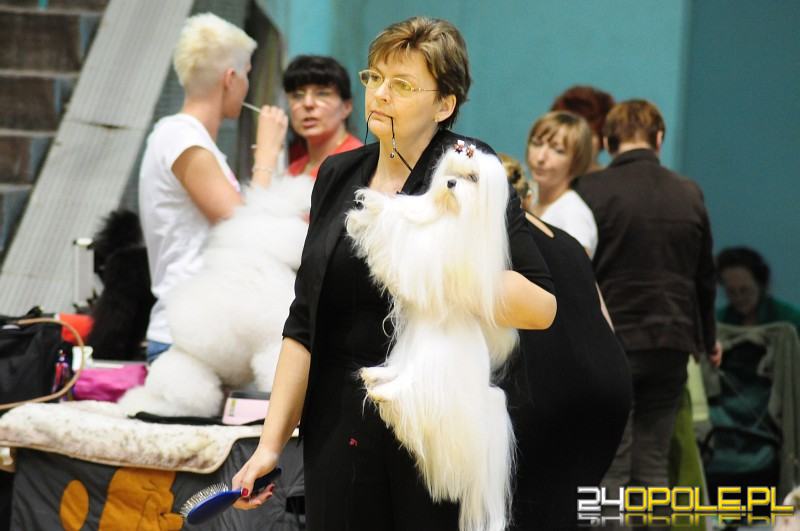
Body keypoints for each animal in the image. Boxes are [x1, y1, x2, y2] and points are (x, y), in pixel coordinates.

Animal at [345, 143, 517, 531]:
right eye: (449, 173)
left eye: (472, 178)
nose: (451, 183)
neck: (451, 217)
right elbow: (404, 214)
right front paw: (376, 205)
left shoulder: (434, 254)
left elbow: (408, 243)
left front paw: (375, 208)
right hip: (408, 350)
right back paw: (375, 377)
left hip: (431, 369)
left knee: (409, 394)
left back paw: (387, 395)